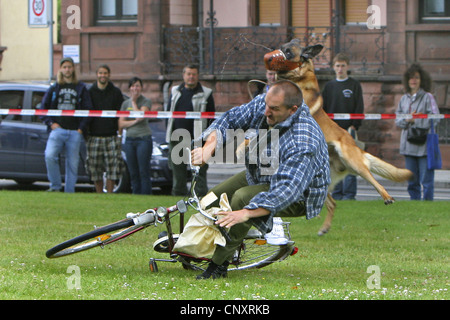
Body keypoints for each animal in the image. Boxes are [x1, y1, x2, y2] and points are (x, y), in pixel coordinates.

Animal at [264, 39, 414, 235]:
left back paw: (387, 196)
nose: (269, 57)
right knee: (332, 203)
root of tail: (356, 147)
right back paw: (324, 227)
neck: (297, 77)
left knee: (372, 180)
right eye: (282, 47)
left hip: (353, 162)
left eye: (288, 52)